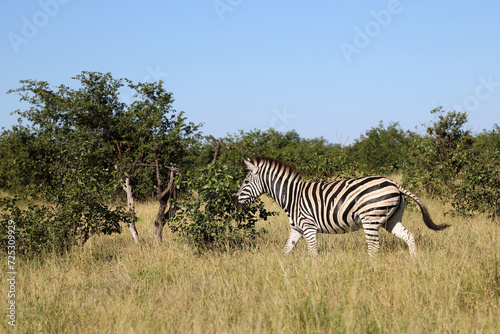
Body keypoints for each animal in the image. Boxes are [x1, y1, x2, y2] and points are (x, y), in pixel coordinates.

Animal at [236, 157, 452, 256]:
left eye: (246, 182)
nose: (235, 200)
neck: (292, 196)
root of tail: (394, 183)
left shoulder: (308, 226)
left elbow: (313, 252)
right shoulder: (296, 228)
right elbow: (286, 250)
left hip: (370, 218)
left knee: (374, 247)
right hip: (391, 219)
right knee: (409, 236)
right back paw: (414, 262)